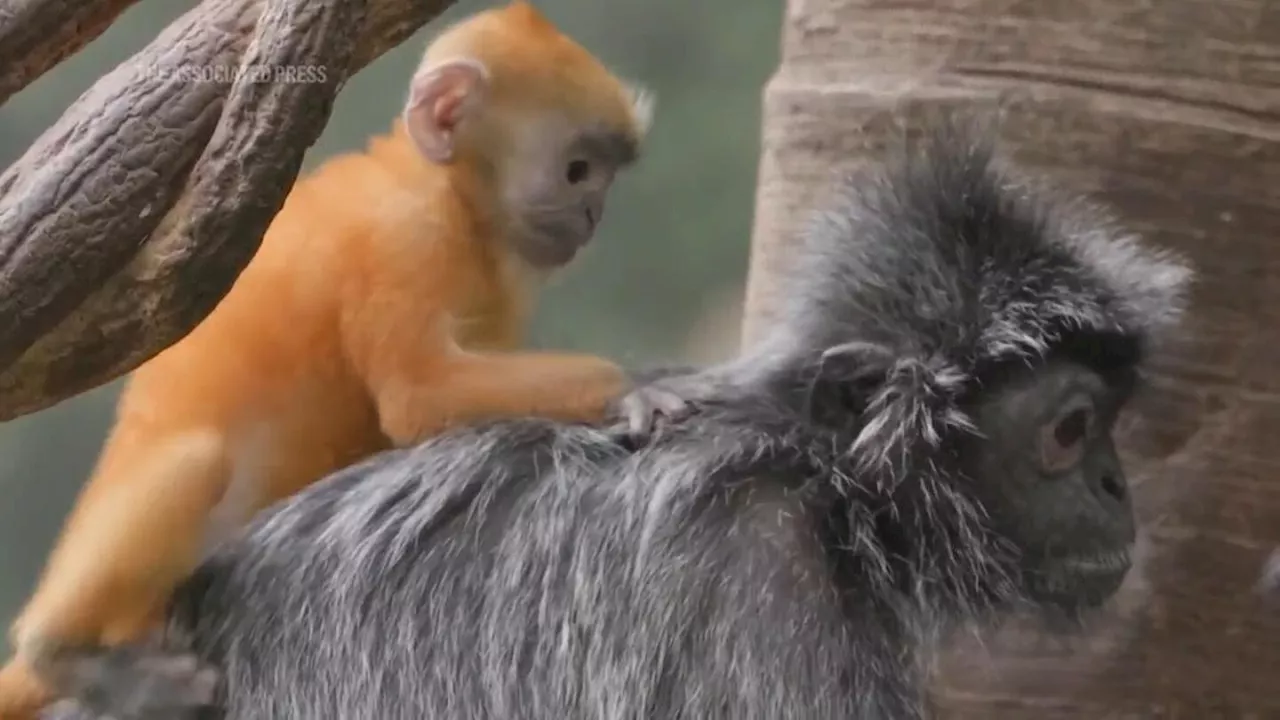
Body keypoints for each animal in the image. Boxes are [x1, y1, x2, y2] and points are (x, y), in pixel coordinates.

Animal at [0, 2, 660, 712]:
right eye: (577, 170)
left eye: (604, 175)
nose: (592, 213)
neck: (449, 196)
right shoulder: (406, 236)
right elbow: (418, 395)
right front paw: (627, 389)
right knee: (198, 462)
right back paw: (62, 655)